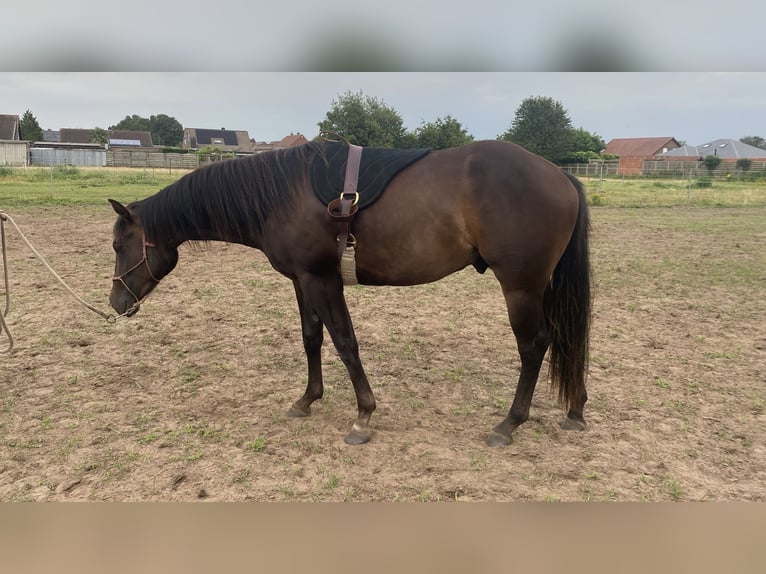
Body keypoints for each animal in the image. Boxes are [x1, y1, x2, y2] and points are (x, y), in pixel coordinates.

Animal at [108, 138, 592, 446]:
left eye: (117, 245)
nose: (116, 303)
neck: (282, 195)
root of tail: (561, 176)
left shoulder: (322, 280)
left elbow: (344, 342)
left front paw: (363, 416)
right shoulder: (302, 280)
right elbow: (312, 338)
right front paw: (307, 400)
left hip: (521, 286)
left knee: (534, 346)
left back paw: (509, 424)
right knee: (564, 340)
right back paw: (575, 411)